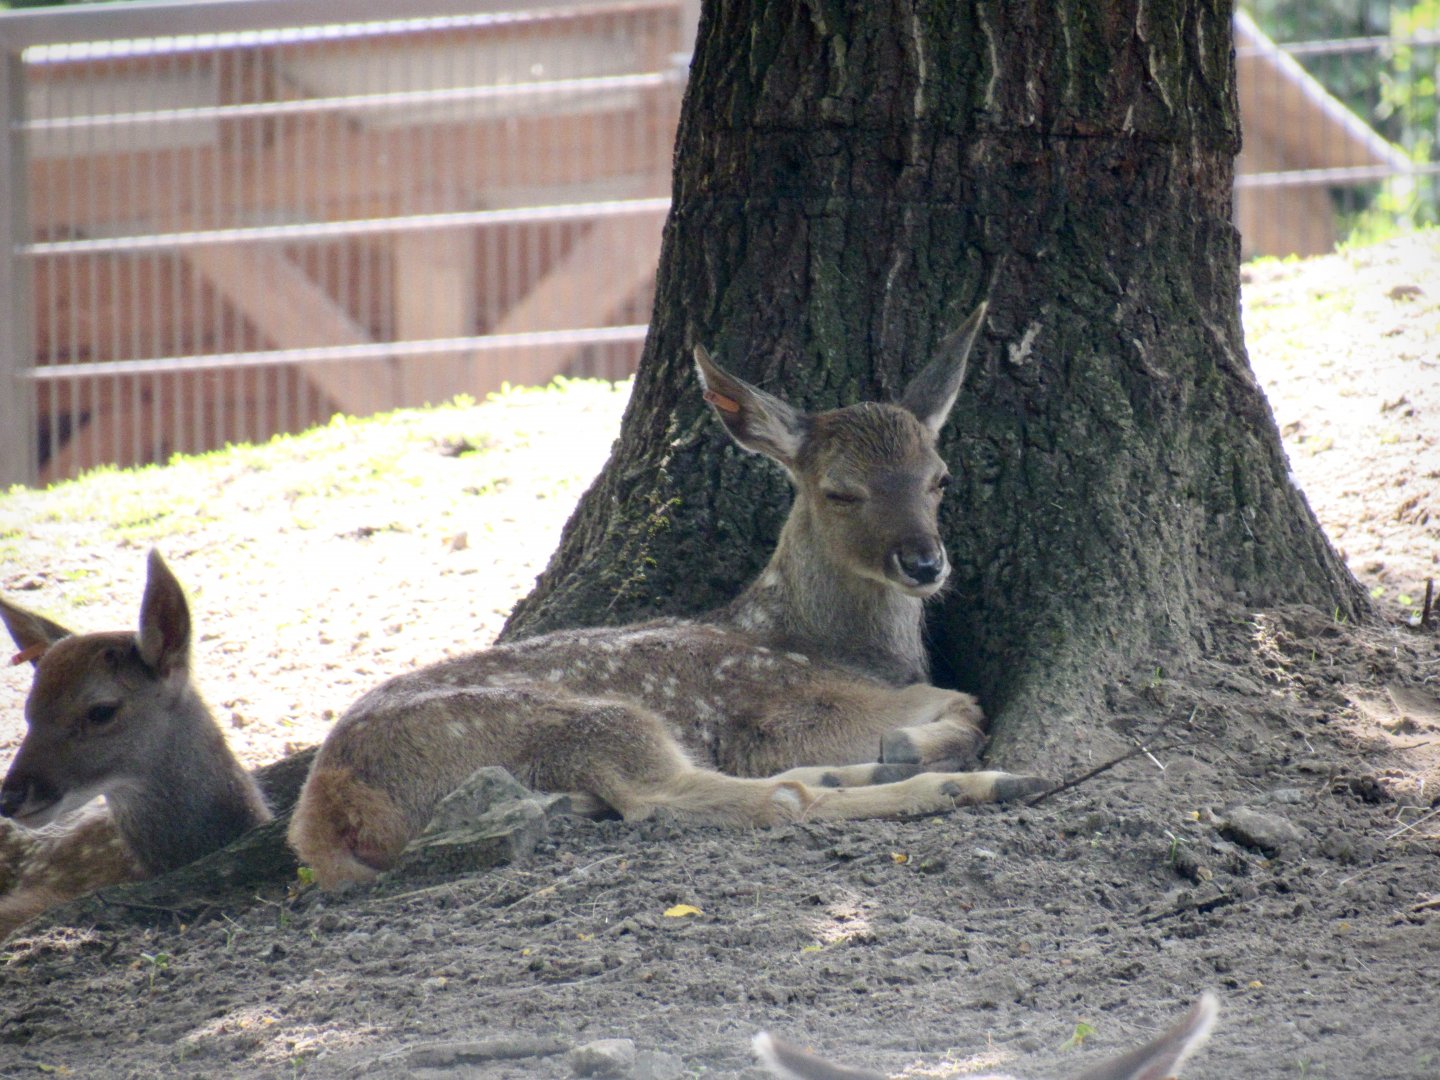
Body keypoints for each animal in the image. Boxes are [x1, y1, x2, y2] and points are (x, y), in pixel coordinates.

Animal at [290, 301, 1051, 887]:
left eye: (939, 478)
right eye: (841, 491)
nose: (925, 563)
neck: (823, 643)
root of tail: (327, 819)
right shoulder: (774, 709)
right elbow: (964, 701)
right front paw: (914, 741)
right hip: (577, 722)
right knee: (728, 797)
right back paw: (976, 782)